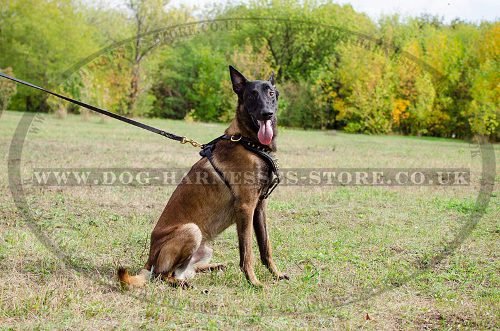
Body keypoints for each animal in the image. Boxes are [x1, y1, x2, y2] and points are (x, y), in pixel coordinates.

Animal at [117, 66, 288, 290]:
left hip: (206, 248)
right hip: (192, 230)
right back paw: (182, 283)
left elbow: (265, 247)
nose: (267, 113)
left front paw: (275, 274)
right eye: (251, 95)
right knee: (163, 275)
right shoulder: (246, 207)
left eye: (271, 93)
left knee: (188, 270)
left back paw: (214, 267)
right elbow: (247, 252)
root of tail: (149, 261)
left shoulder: (259, 206)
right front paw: (254, 281)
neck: (249, 143)